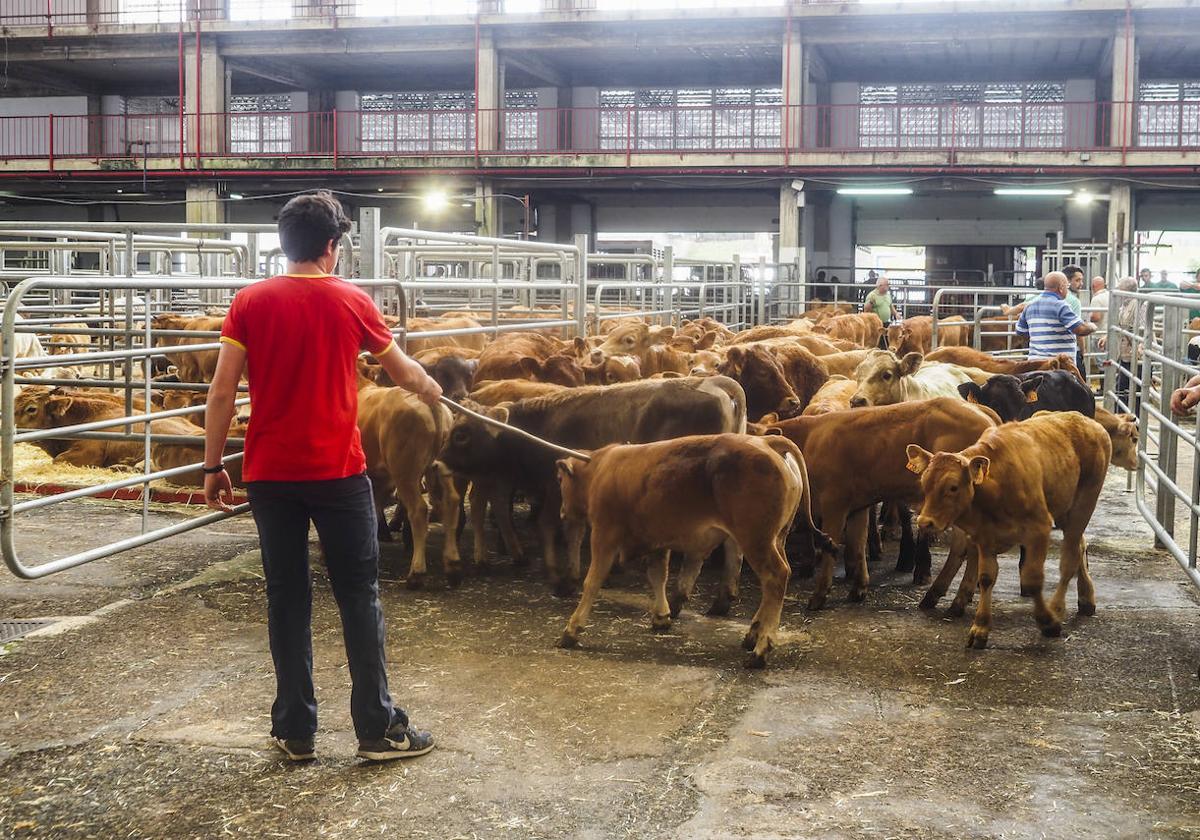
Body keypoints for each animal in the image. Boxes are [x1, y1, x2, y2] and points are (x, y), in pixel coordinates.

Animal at [556, 429, 830, 667]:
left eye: (561, 482)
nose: (561, 513)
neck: (600, 469)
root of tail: (767, 442)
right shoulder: (657, 541)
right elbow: (658, 576)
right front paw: (661, 617)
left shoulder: (604, 535)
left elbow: (592, 581)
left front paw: (572, 630)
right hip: (776, 539)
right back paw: (752, 635)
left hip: (757, 541)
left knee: (776, 577)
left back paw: (760, 651)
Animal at [907, 412, 1113, 648]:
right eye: (924, 484)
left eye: (953, 487)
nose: (925, 522)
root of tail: (1085, 420)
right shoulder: (984, 536)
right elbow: (986, 577)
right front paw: (980, 628)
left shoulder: (1039, 529)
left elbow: (1032, 580)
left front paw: (1047, 622)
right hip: (1065, 510)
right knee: (1080, 545)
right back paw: (1086, 598)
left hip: (1084, 505)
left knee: (1069, 559)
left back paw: (1057, 609)